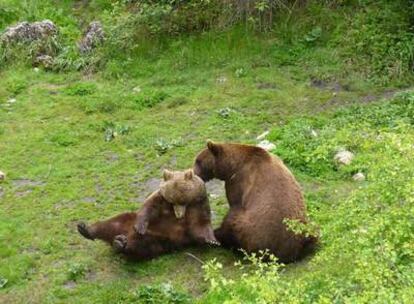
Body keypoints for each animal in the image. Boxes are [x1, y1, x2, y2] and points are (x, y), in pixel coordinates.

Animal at [78, 169, 220, 258]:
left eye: (182, 200)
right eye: (171, 200)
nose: (179, 215)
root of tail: (124, 233)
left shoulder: (198, 205)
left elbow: (200, 225)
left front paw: (212, 241)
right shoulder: (161, 199)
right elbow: (149, 207)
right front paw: (140, 227)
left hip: (158, 241)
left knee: (140, 247)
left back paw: (120, 243)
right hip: (127, 220)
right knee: (110, 222)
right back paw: (85, 229)